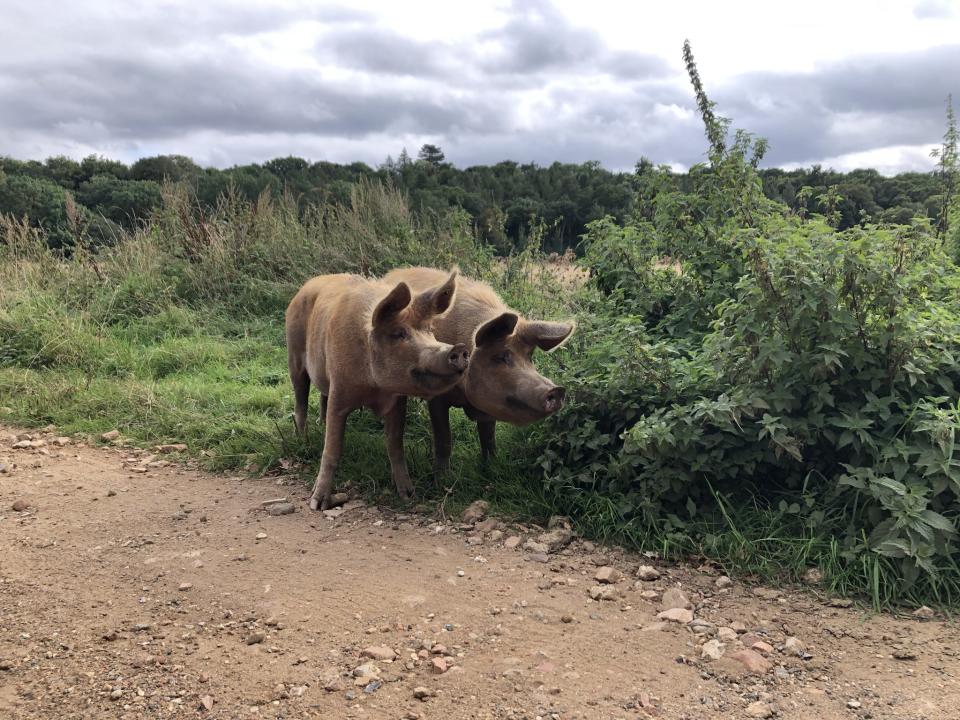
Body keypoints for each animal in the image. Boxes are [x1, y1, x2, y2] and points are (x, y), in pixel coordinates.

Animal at [284, 270, 468, 512]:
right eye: (399, 333)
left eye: (429, 331)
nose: (459, 349)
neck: (373, 388)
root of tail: (304, 288)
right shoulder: (339, 392)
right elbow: (332, 449)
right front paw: (318, 504)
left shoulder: (396, 401)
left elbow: (395, 445)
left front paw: (409, 496)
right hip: (294, 356)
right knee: (300, 401)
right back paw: (301, 440)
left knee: (321, 396)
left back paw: (320, 426)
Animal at [378, 268, 572, 476]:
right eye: (500, 357)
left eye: (530, 356)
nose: (556, 390)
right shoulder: (438, 397)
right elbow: (444, 438)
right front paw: (442, 476)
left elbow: (488, 437)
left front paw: (492, 466)